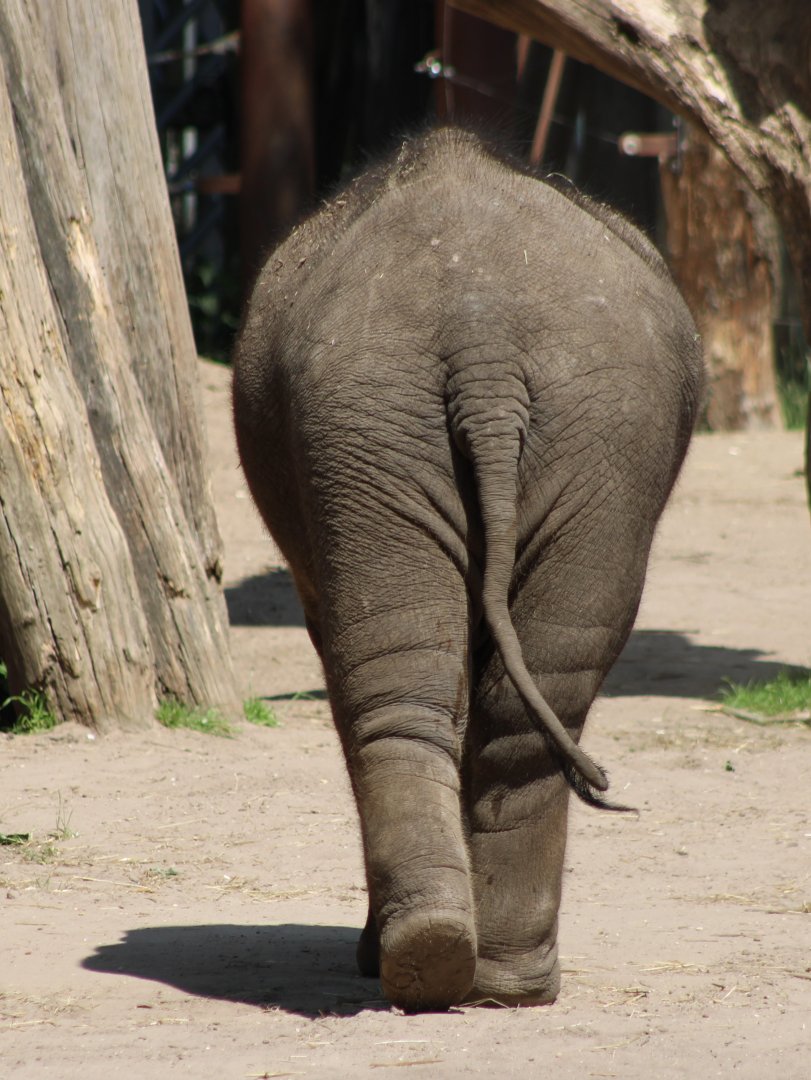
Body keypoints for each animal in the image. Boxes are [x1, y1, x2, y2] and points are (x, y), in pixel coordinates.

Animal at [232, 126, 703, 1011]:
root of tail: (480, 336)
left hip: (404, 417)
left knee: (405, 682)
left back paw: (449, 964)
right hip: (557, 428)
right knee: (524, 689)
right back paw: (478, 972)